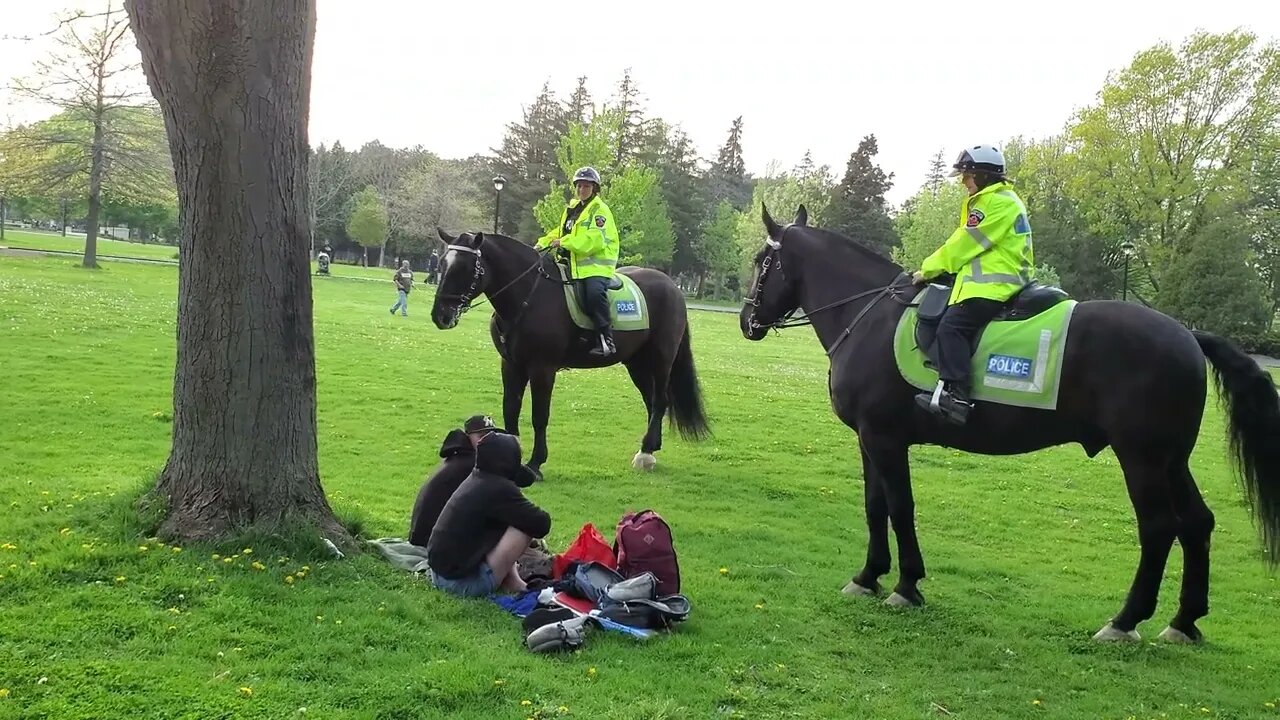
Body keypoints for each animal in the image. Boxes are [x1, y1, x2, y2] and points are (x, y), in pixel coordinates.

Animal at [430, 229, 711, 474]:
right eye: (442, 263)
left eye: (466, 268)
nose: (440, 316)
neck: (529, 296)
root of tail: (672, 286)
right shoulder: (511, 364)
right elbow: (511, 409)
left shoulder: (542, 368)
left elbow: (539, 416)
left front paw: (536, 462)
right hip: (636, 363)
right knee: (652, 401)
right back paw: (650, 448)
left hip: (661, 358)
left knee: (660, 400)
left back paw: (645, 453)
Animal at [742, 202, 1280, 638]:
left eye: (761, 263)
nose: (747, 321)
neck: (869, 316)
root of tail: (1187, 335)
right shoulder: (870, 440)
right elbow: (876, 508)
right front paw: (869, 576)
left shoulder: (886, 439)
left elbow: (900, 508)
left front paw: (907, 584)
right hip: (1172, 460)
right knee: (1197, 523)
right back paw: (1184, 621)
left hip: (1142, 458)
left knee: (1159, 528)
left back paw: (1126, 620)